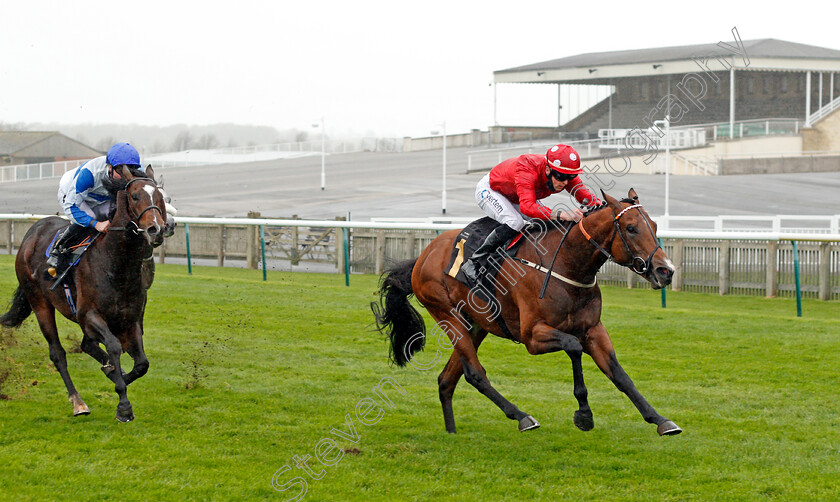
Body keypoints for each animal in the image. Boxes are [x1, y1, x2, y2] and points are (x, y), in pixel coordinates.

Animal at [0, 167, 167, 422]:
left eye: (159, 197)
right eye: (135, 196)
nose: (156, 229)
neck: (116, 265)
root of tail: (33, 232)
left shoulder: (130, 320)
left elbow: (141, 364)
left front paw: (116, 375)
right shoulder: (89, 316)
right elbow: (114, 347)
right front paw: (123, 404)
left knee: (87, 344)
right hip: (40, 303)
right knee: (58, 353)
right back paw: (78, 402)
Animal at [374, 188, 684, 436]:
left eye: (654, 225)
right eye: (631, 228)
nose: (665, 270)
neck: (567, 264)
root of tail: (422, 257)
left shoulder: (593, 330)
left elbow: (619, 374)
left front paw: (660, 420)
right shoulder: (533, 336)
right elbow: (573, 347)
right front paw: (584, 414)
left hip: (477, 324)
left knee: (447, 379)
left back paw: (452, 432)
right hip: (448, 316)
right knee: (474, 373)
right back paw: (522, 417)